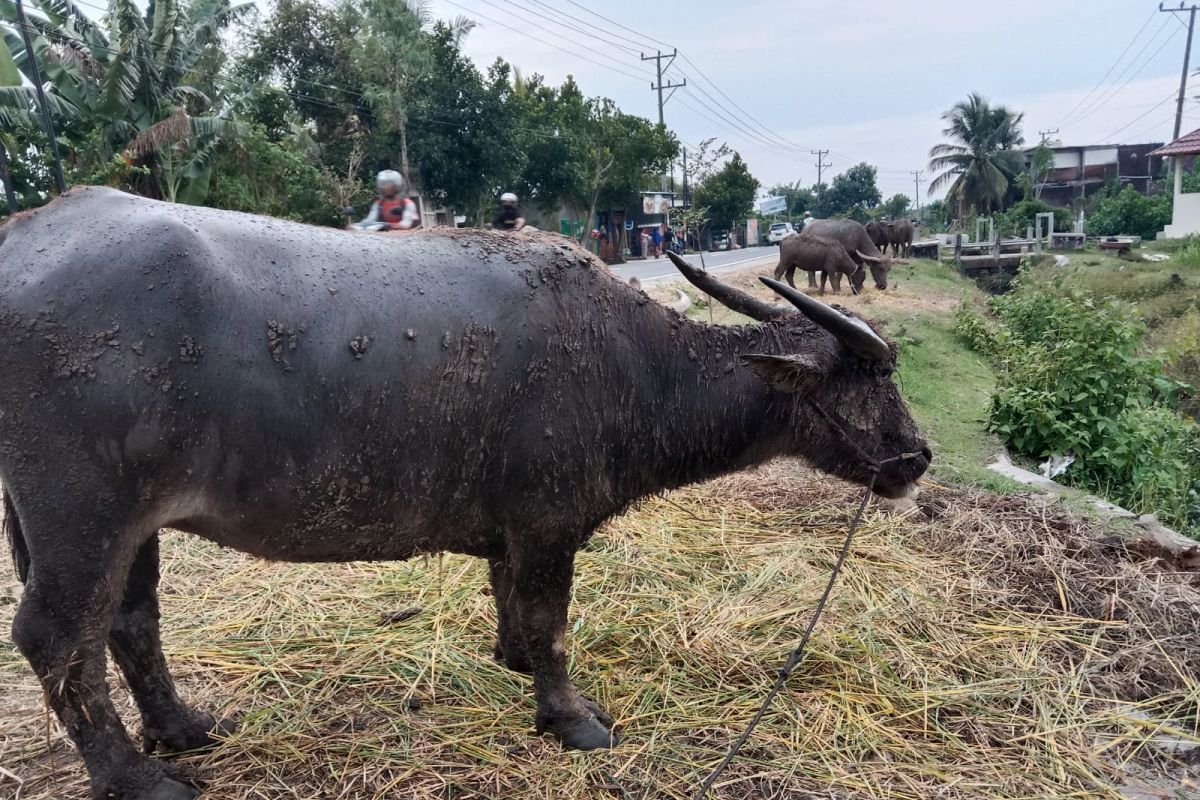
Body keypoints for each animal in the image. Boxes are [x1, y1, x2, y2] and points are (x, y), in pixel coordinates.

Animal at [0, 189, 931, 800]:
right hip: (82, 520)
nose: (917, 458)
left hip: (130, 526)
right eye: (876, 375)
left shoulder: (513, 526)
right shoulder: (550, 520)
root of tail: (23, 237)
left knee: (129, 621)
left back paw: (182, 729)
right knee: (58, 638)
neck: (632, 365)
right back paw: (134, 777)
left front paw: (511, 658)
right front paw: (571, 719)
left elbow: (510, 597)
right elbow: (553, 621)